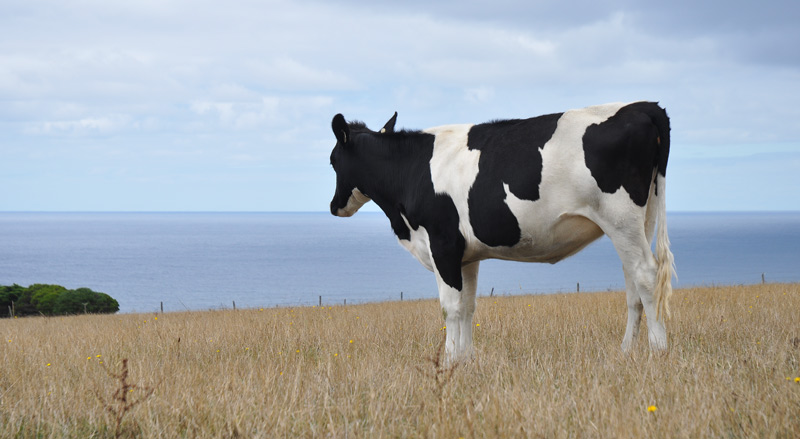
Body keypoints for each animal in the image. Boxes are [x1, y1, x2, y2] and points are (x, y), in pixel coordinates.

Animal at [328, 102, 675, 362]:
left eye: (333, 161)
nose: (334, 206)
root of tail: (642, 106)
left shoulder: (442, 243)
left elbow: (450, 307)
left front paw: (449, 360)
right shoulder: (466, 256)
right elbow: (468, 306)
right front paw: (466, 359)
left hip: (620, 217)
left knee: (646, 275)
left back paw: (658, 351)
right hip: (640, 220)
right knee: (633, 284)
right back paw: (626, 351)